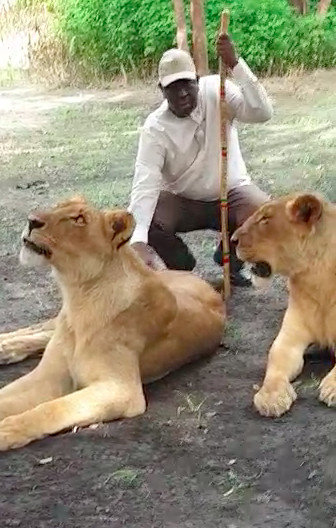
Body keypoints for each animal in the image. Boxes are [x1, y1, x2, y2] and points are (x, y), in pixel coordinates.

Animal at [0, 196, 226, 452]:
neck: (79, 299)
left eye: (79, 219)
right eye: (58, 206)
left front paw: (6, 431)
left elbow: (52, 408)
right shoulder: (48, 376)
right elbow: (6, 397)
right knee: (36, 330)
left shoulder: (122, 389)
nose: (31, 220)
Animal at [232, 192, 336, 418]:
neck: (314, 280)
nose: (232, 239)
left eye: (265, 219)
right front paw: (270, 397)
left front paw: (332, 388)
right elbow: (275, 361)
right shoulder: (289, 339)